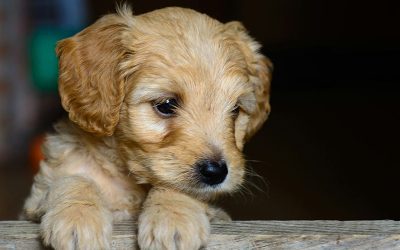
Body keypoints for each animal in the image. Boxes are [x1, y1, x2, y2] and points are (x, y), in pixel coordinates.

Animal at [21, 5, 272, 250]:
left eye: (236, 109)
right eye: (166, 105)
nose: (216, 172)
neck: (129, 177)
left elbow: (175, 186)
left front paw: (173, 217)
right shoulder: (36, 199)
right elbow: (72, 179)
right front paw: (78, 216)